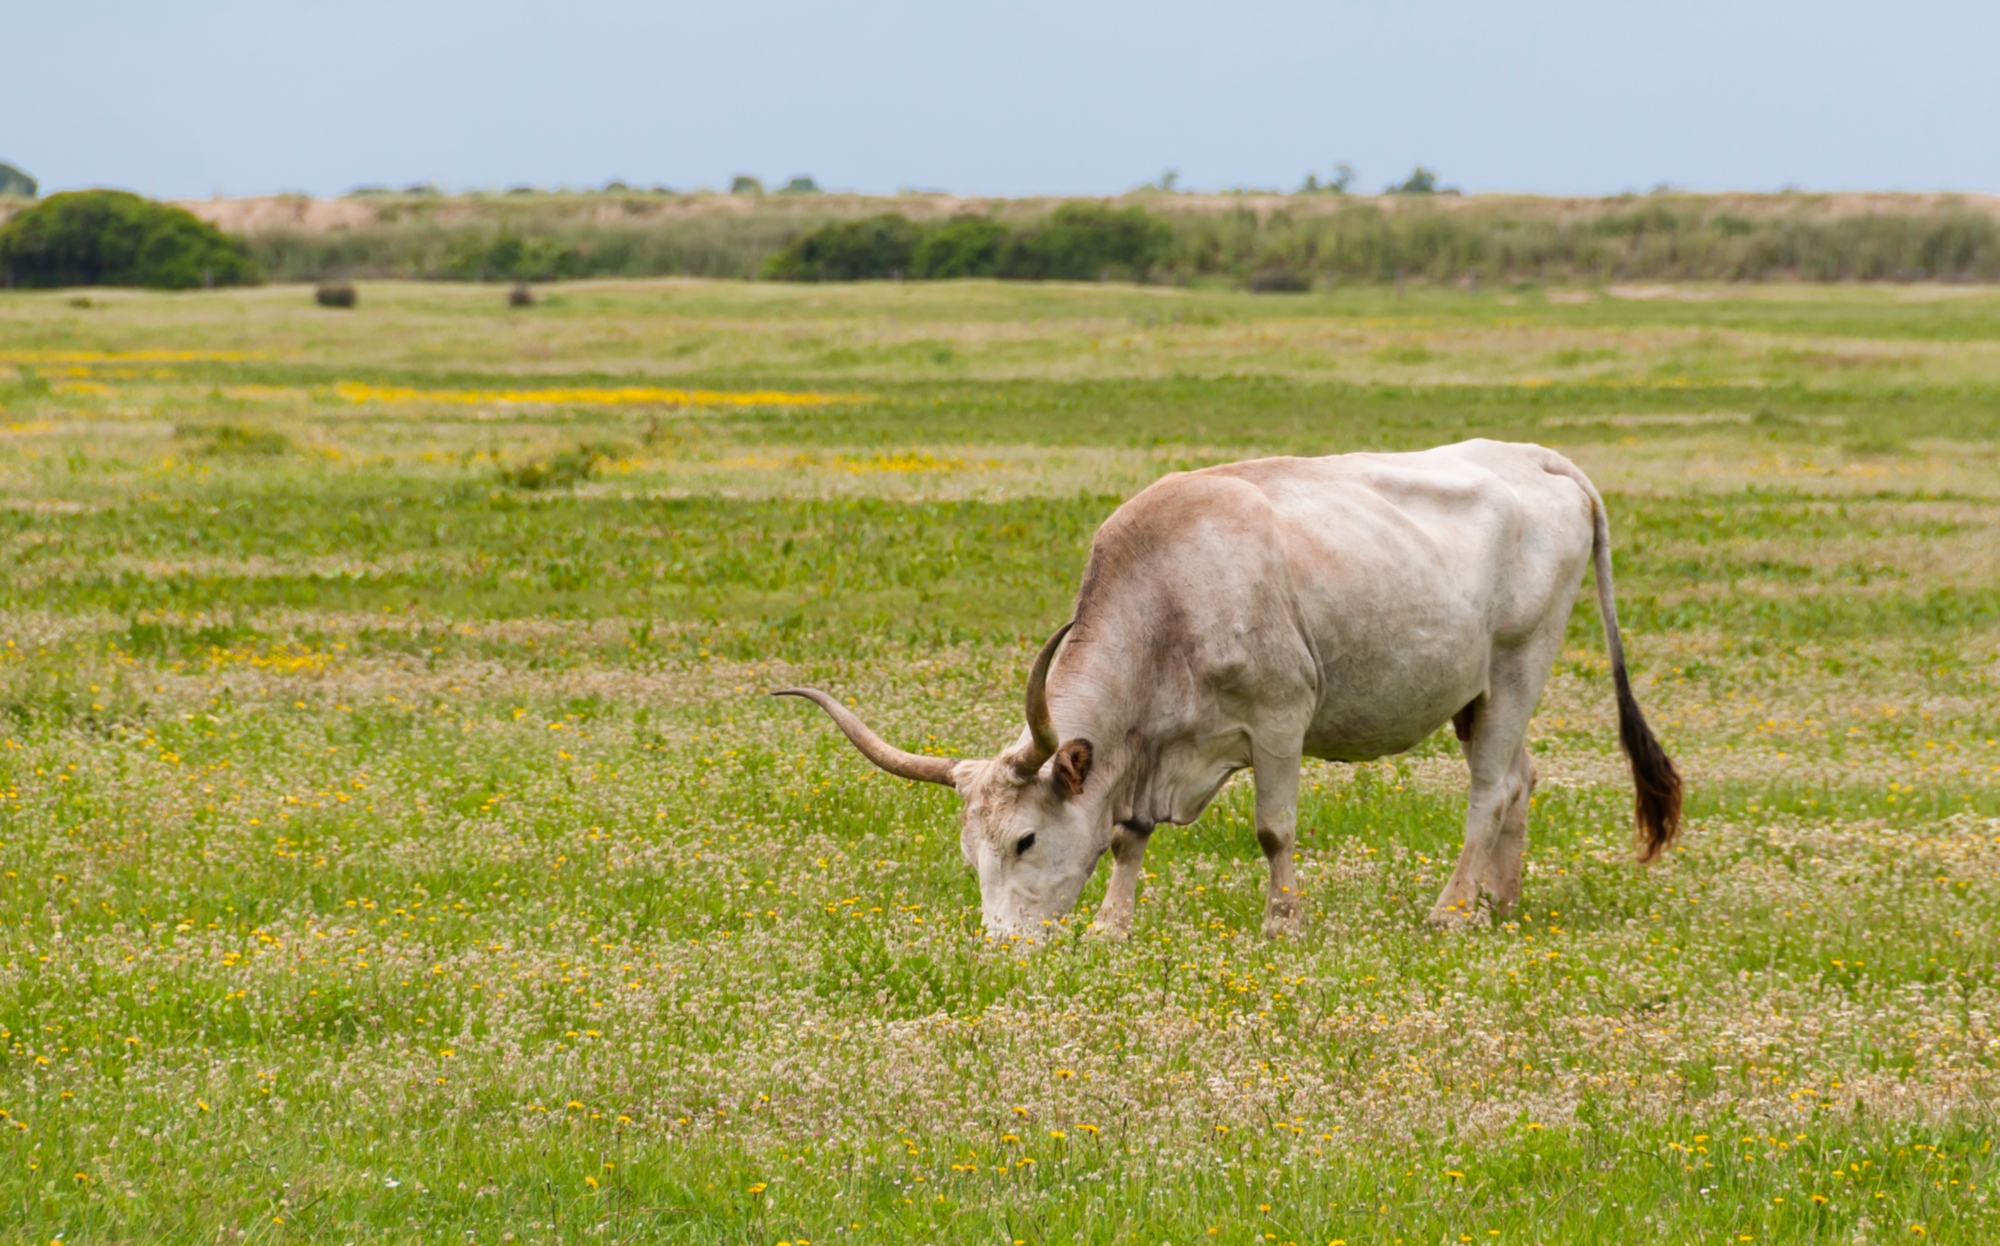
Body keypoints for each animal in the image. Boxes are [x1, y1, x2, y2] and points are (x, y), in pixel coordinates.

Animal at [776, 439, 1680, 939]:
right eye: (973, 852)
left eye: (1026, 841)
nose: (1002, 948)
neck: (1171, 593)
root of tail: (1535, 458)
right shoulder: (1146, 754)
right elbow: (1128, 837)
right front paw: (1111, 925)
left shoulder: (1279, 723)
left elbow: (1274, 830)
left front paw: (1282, 921)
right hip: (1478, 695)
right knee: (1522, 778)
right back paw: (1502, 902)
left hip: (1518, 666)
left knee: (1489, 790)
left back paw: (1450, 910)